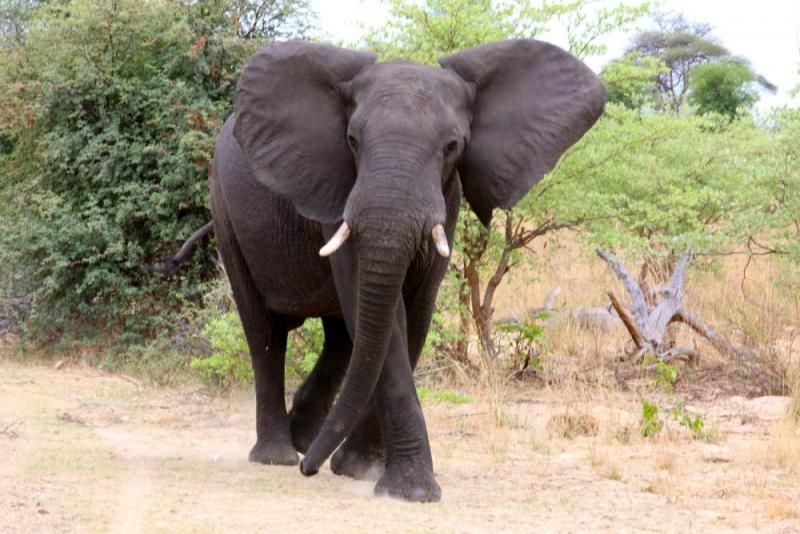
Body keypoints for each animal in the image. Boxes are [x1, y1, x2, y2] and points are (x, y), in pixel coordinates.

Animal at [163, 39, 606, 502]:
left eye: (452, 146)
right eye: (352, 141)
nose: (308, 470)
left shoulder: (446, 201)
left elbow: (415, 314)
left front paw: (359, 469)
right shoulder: (338, 191)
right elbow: (384, 319)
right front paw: (410, 490)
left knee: (341, 338)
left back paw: (304, 440)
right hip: (226, 213)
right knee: (265, 332)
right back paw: (279, 455)